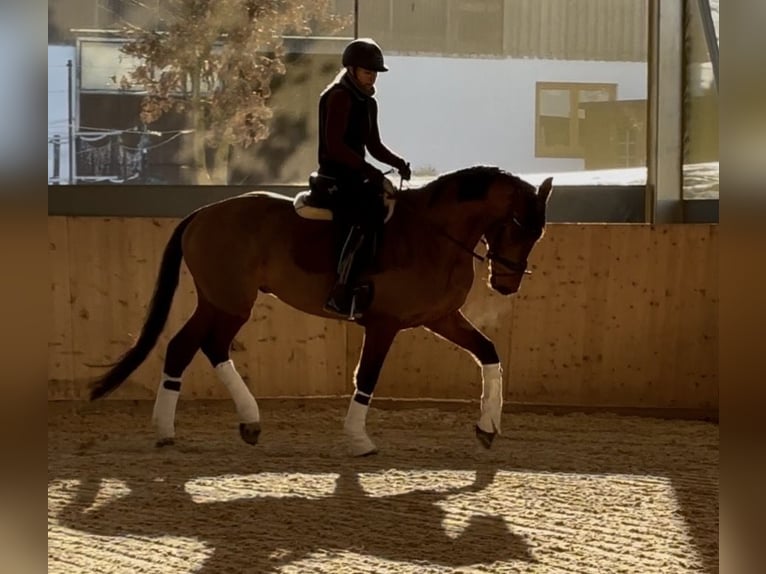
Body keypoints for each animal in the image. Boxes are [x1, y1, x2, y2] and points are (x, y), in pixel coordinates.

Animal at [89, 165, 553, 456]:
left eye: (538, 231)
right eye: (517, 225)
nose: (506, 284)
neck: (434, 236)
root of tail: (202, 213)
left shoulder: (439, 318)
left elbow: (489, 352)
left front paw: (488, 427)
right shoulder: (384, 324)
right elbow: (367, 377)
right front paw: (359, 440)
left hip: (220, 300)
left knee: (193, 347)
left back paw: (216, 426)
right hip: (229, 301)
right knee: (199, 346)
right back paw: (181, 428)